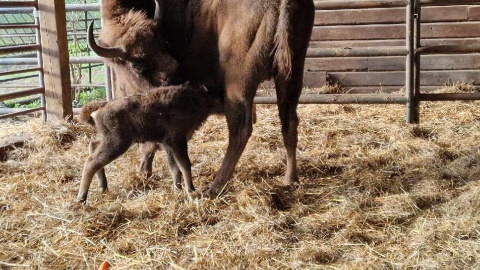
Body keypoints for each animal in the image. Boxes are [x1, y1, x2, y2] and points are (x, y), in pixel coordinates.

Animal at [77, 84, 223, 202]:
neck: (197, 99)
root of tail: (103, 106)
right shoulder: (177, 141)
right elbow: (185, 165)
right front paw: (191, 190)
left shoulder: (168, 145)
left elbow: (174, 168)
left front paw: (178, 189)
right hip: (117, 143)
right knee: (92, 162)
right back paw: (82, 198)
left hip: (109, 140)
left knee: (93, 146)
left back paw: (102, 187)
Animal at [88, 0, 316, 198]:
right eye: (138, 65)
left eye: (163, 45)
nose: (170, 78)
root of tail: (281, 2)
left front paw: (146, 171)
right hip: (290, 74)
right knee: (289, 121)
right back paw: (290, 179)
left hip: (239, 83)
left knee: (241, 129)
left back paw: (215, 186)